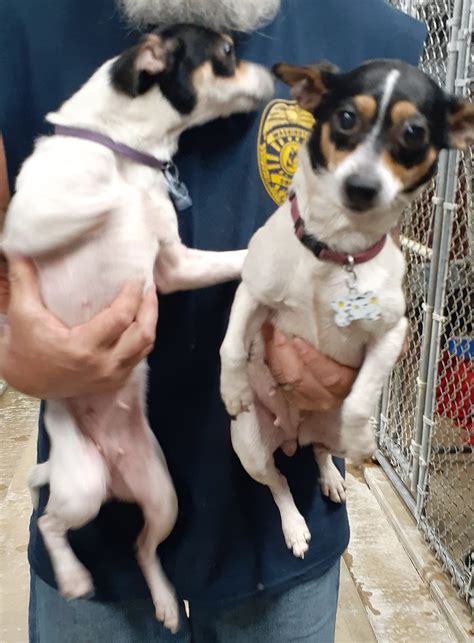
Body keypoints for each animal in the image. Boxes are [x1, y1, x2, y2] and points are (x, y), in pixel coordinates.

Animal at [220, 59, 474, 558]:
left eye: (414, 132)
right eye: (346, 118)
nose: (361, 187)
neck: (338, 252)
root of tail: (295, 433)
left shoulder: (391, 336)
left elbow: (361, 400)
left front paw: (361, 439)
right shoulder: (252, 292)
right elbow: (232, 347)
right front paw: (233, 389)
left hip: (321, 431)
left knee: (321, 451)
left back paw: (332, 478)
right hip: (251, 448)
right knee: (278, 483)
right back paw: (295, 527)